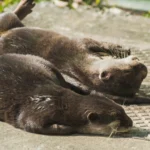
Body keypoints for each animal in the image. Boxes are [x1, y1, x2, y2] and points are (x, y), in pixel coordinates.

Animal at [0, 0, 149, 103]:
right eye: (129, 69)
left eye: (140, 76)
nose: (141, 65)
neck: (81, 64)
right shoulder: (80, 45)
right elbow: (96, 42)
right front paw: (120, 49)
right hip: (10, 21)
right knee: (8, 16)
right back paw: (25, 6)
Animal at [0, 53, 132, 135]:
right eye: (117, 118)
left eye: (123, 110)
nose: (131, 123)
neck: (58, 102)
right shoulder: (35, 111)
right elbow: (30, 124)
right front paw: (68, 128)